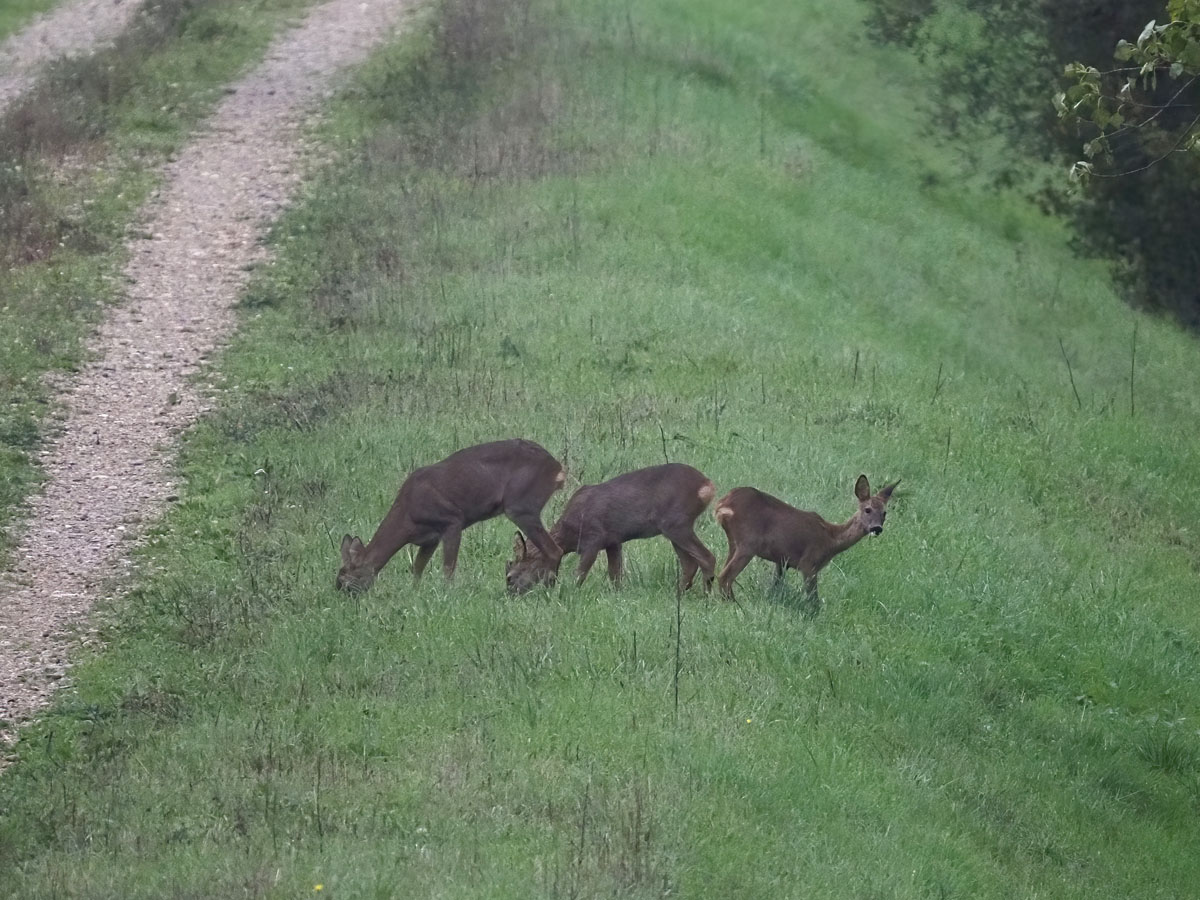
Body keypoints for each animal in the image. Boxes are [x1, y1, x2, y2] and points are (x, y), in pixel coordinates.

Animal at [336, 441, 564, 595]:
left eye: (345, 580)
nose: (343, 597)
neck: (407, 517)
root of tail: (557, 467)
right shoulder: (429, 539)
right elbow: (417, 568)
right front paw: (415, 593)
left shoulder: (452, 521)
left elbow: (448, 568)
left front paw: (447, 595)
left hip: (521, 505)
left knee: (555, 549)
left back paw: (549, 589)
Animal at [504, 465, 710, 600]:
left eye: (510, 577)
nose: (509, 596)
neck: (569, 535)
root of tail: (707, 486)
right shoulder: (613, 541)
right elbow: (615, 574)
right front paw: (617, 596)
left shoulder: (594, 538)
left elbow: (579, 574)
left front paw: (568, 594)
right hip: (674, 528)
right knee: (690, 563)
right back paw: (680, 593)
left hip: (676, 522)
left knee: (707, 557)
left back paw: (706, 596)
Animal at [710, 475, 902, 609]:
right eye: (867, 509)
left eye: (884, 513)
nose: (877, 528)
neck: (831, 540)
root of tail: (722, 505)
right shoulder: (809, 563)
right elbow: (813, 599)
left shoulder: (782, 561)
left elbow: (776, 585)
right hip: (748, 543)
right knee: (725, 575)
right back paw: (734, 606)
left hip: (734, 542)